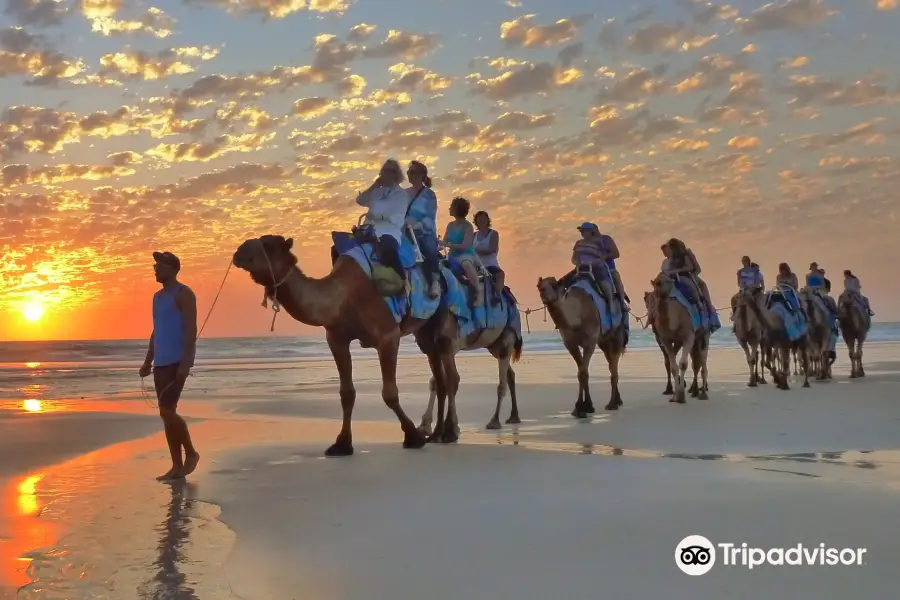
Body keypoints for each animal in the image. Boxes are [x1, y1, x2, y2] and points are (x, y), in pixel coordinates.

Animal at [536, 276, 624, 412]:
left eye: (554, 285)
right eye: (539, 286)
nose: (543, 291)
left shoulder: (590, 341)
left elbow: (583, 372)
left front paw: (585, 407)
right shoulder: (570, 344)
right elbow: (581, 371)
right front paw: (581, 406)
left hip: (617, 334)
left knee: (614, 364)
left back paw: (612, 404)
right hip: (603, 341)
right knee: (611, 364)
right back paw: (617, 400)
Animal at [648, 276, 712, 404]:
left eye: (668, 281)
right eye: (656, 282)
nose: (660, 285)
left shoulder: (688, 336)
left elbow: (683, 364)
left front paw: (681, 396)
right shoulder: (665, 339)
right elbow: (673, 367)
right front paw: (675, 396)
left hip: (704, 333)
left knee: (702, 359)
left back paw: (702, 393)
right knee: (696, 362)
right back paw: (694, 391)